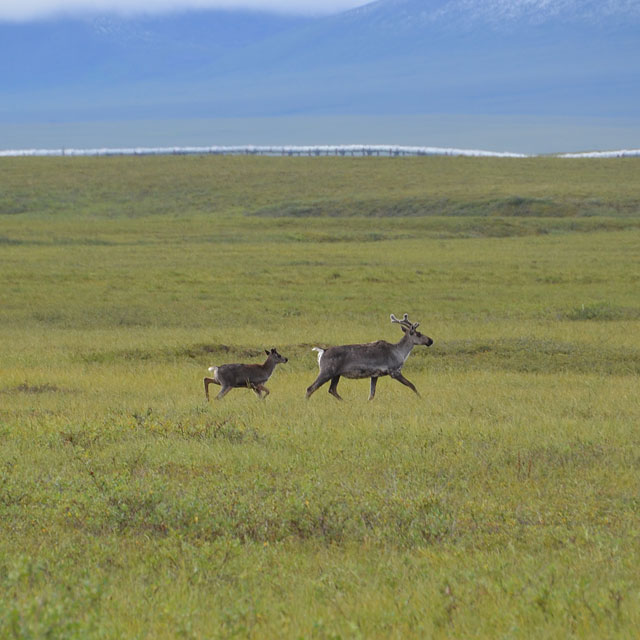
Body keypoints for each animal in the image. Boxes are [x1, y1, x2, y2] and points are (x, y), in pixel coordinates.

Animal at [306, 314, 436, 400]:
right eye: (419, 334)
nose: (431, 340)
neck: (399, 352)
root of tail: (322, 350)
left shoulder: (374, 375)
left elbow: (371, 394)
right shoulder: (394, 372)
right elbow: (412, 385)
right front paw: (421, 398)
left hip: (336, 374)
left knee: (332, 389)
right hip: (326, 372)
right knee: (310, 388)